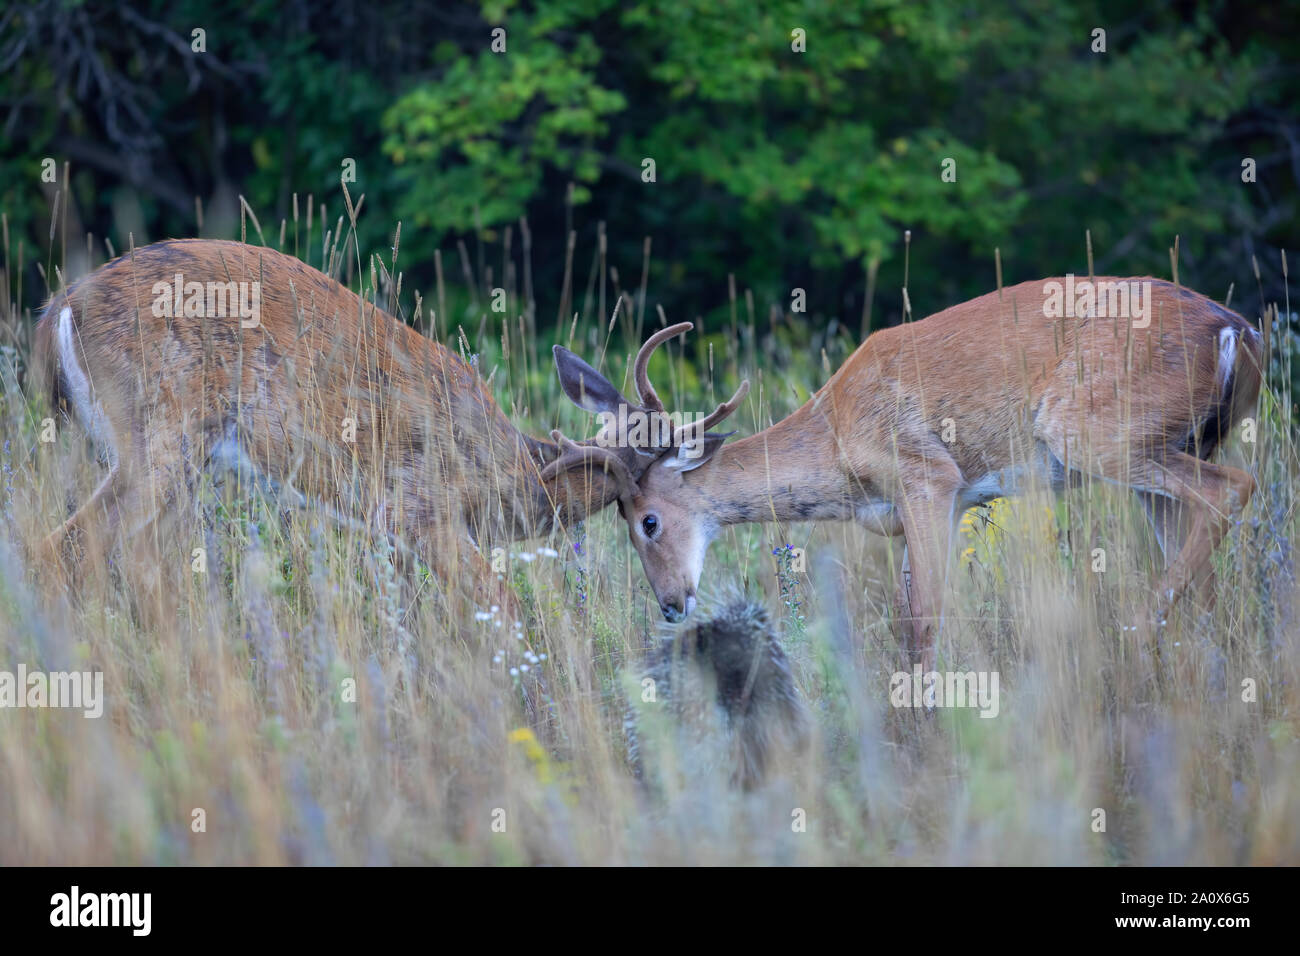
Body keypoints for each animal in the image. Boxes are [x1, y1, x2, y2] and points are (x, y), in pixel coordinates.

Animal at [27, 240, 681, 621]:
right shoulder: (418, 511)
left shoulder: (387, 537)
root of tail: (60, 306)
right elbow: (508, 607)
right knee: (65, 547)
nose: (675, 604)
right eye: (671, 457)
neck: (507, 473)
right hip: (158, 437)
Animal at [543, 273, 1263, 671]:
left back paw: (1136, 633)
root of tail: (1237, 330)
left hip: (1096, 429)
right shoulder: (942, 502)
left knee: (1235, 489)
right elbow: (906, 616)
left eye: (648, 522)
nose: (671, 605)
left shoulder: (928, 476)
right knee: (1204, 563)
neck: (838, 439)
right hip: (1173, 446)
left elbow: (922, 619)